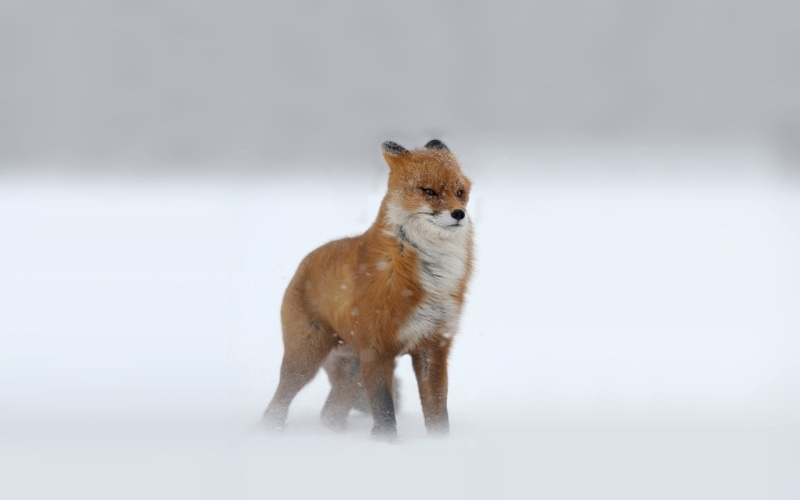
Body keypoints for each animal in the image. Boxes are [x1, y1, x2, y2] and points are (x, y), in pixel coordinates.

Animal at [262, 139, 474, 439]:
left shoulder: (432, 345)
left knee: (330, 413)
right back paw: (270, 432)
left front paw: (439, 444)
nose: (459, 214)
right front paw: (385, 444)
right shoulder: (377, 348)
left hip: (352, 370)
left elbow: (438, 412)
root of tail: (304, 262)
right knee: (277, 405)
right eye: (429, 191)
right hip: (305, 359)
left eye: (460, 192)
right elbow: (385, 411)